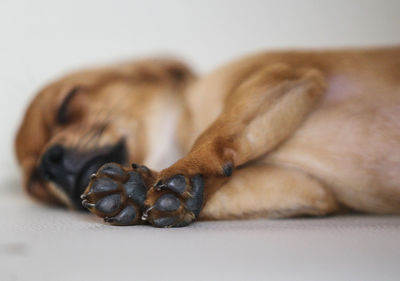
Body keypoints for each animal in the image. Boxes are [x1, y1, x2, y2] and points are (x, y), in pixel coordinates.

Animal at [14, 47, 400, 226]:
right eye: (35, 182)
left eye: (67, 104)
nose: (49, 162)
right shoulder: (311, 190)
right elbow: (219, 191)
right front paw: (136, 191)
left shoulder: (283, 77)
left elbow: (216, 134)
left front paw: (168, 175)